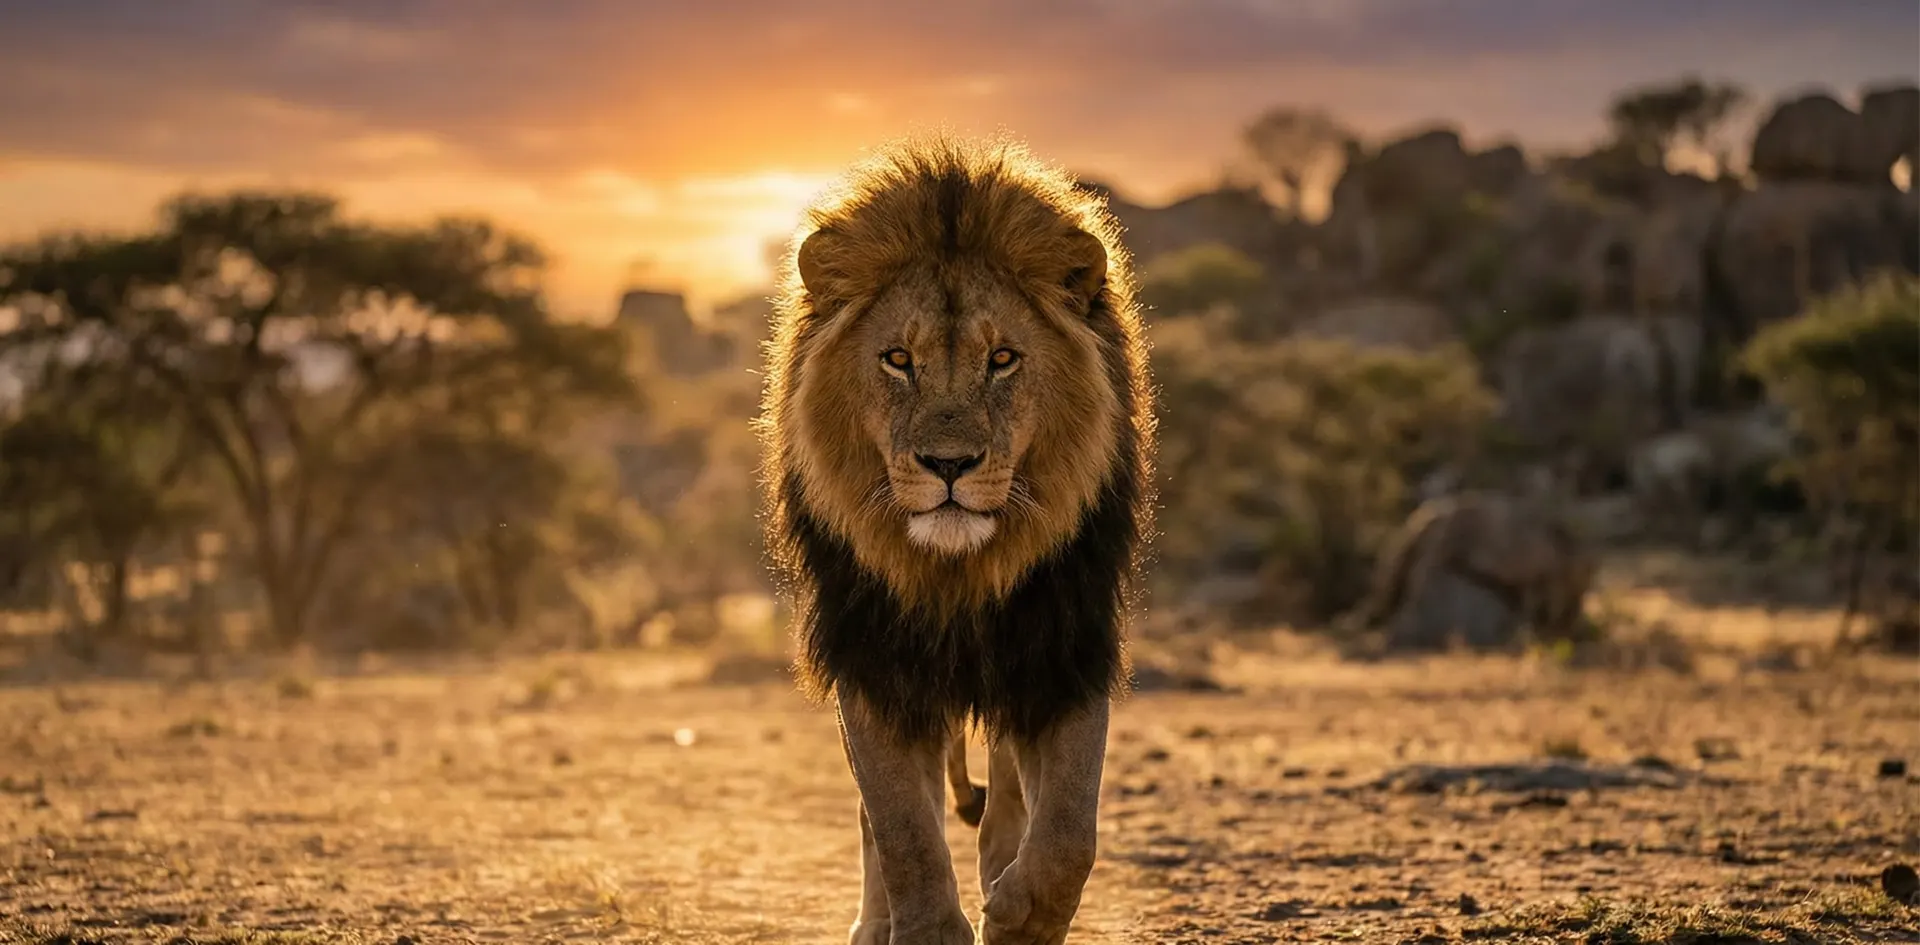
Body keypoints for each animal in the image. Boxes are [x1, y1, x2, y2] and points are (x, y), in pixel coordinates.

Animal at [757, 135, 1154, 944]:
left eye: (1002, 359)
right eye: (897, 360)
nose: (948, 464)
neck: (957, 571)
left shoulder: (1063, 647)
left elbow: (1070, 829)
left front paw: (1021, 917)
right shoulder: (872, 655)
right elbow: (901, 827)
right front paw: (924, 926)